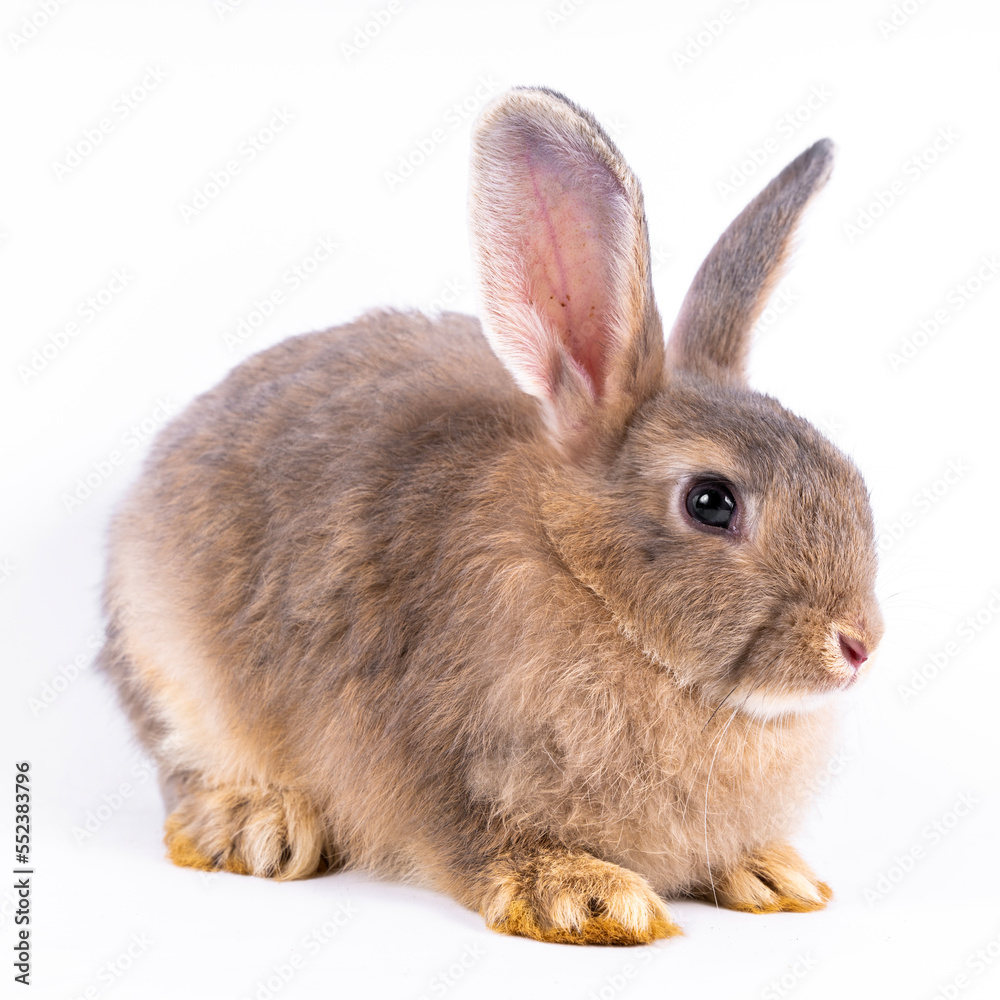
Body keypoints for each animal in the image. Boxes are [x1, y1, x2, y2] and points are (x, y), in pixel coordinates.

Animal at [97, 86, 883, 946]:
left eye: (849, 476)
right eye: (711, 502)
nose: (858, 645)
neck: (586, 582)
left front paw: (771, 873)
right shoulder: (436, 756)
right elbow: (480, 840)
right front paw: (584, 897)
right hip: (173, 669)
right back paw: (257, 824)